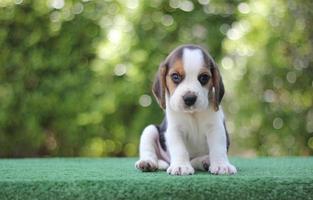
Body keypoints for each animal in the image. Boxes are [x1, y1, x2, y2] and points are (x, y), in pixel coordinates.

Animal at [135, 44, 236, 175]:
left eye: (204, 77)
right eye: (175, 76)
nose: (189, 98)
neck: (193, 114)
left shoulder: (216, 128)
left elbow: (218, 147)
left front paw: (221, 165)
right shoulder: (174, 130)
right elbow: (179, 148)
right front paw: (181, 166)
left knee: (194, 160)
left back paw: (204, 161)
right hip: (150, 130)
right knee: (149, 151)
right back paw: (148, 163)